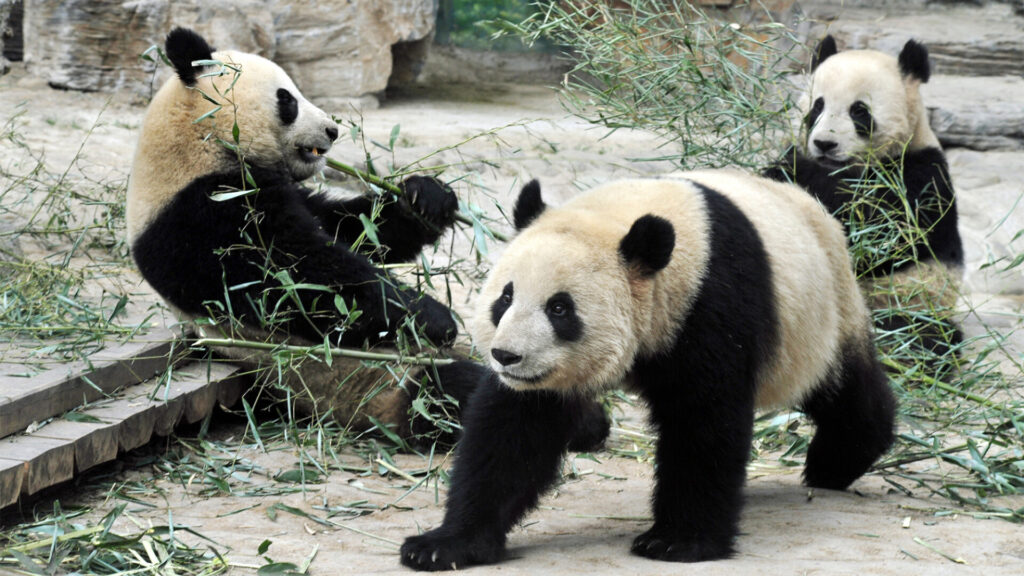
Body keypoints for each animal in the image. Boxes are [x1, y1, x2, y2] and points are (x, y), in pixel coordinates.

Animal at [127, 27, 488, 440]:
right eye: (287, 99)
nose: (333, 129)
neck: (196, 141)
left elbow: (353, 229)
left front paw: (426, 197)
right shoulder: (200, 216)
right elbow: (301, 282)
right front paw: (434, 316)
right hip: (366, 383)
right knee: (456, 392)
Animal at [400, 172, 896, 569]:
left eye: (560, 308)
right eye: (505, 297)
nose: (506, 356)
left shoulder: (710, 303)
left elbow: (703, 423)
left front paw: (678, 542)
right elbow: (512, 434)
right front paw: (444, 545)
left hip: (820, 317)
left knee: (842, 388)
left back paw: (837, 460)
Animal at [764, 35, 964, 358]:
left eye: (859, 111)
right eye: (817, 106)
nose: (825, 144)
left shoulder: (919, 175)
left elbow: (884, 234)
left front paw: (799, 169)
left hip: (912, 302)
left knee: (924, 338)